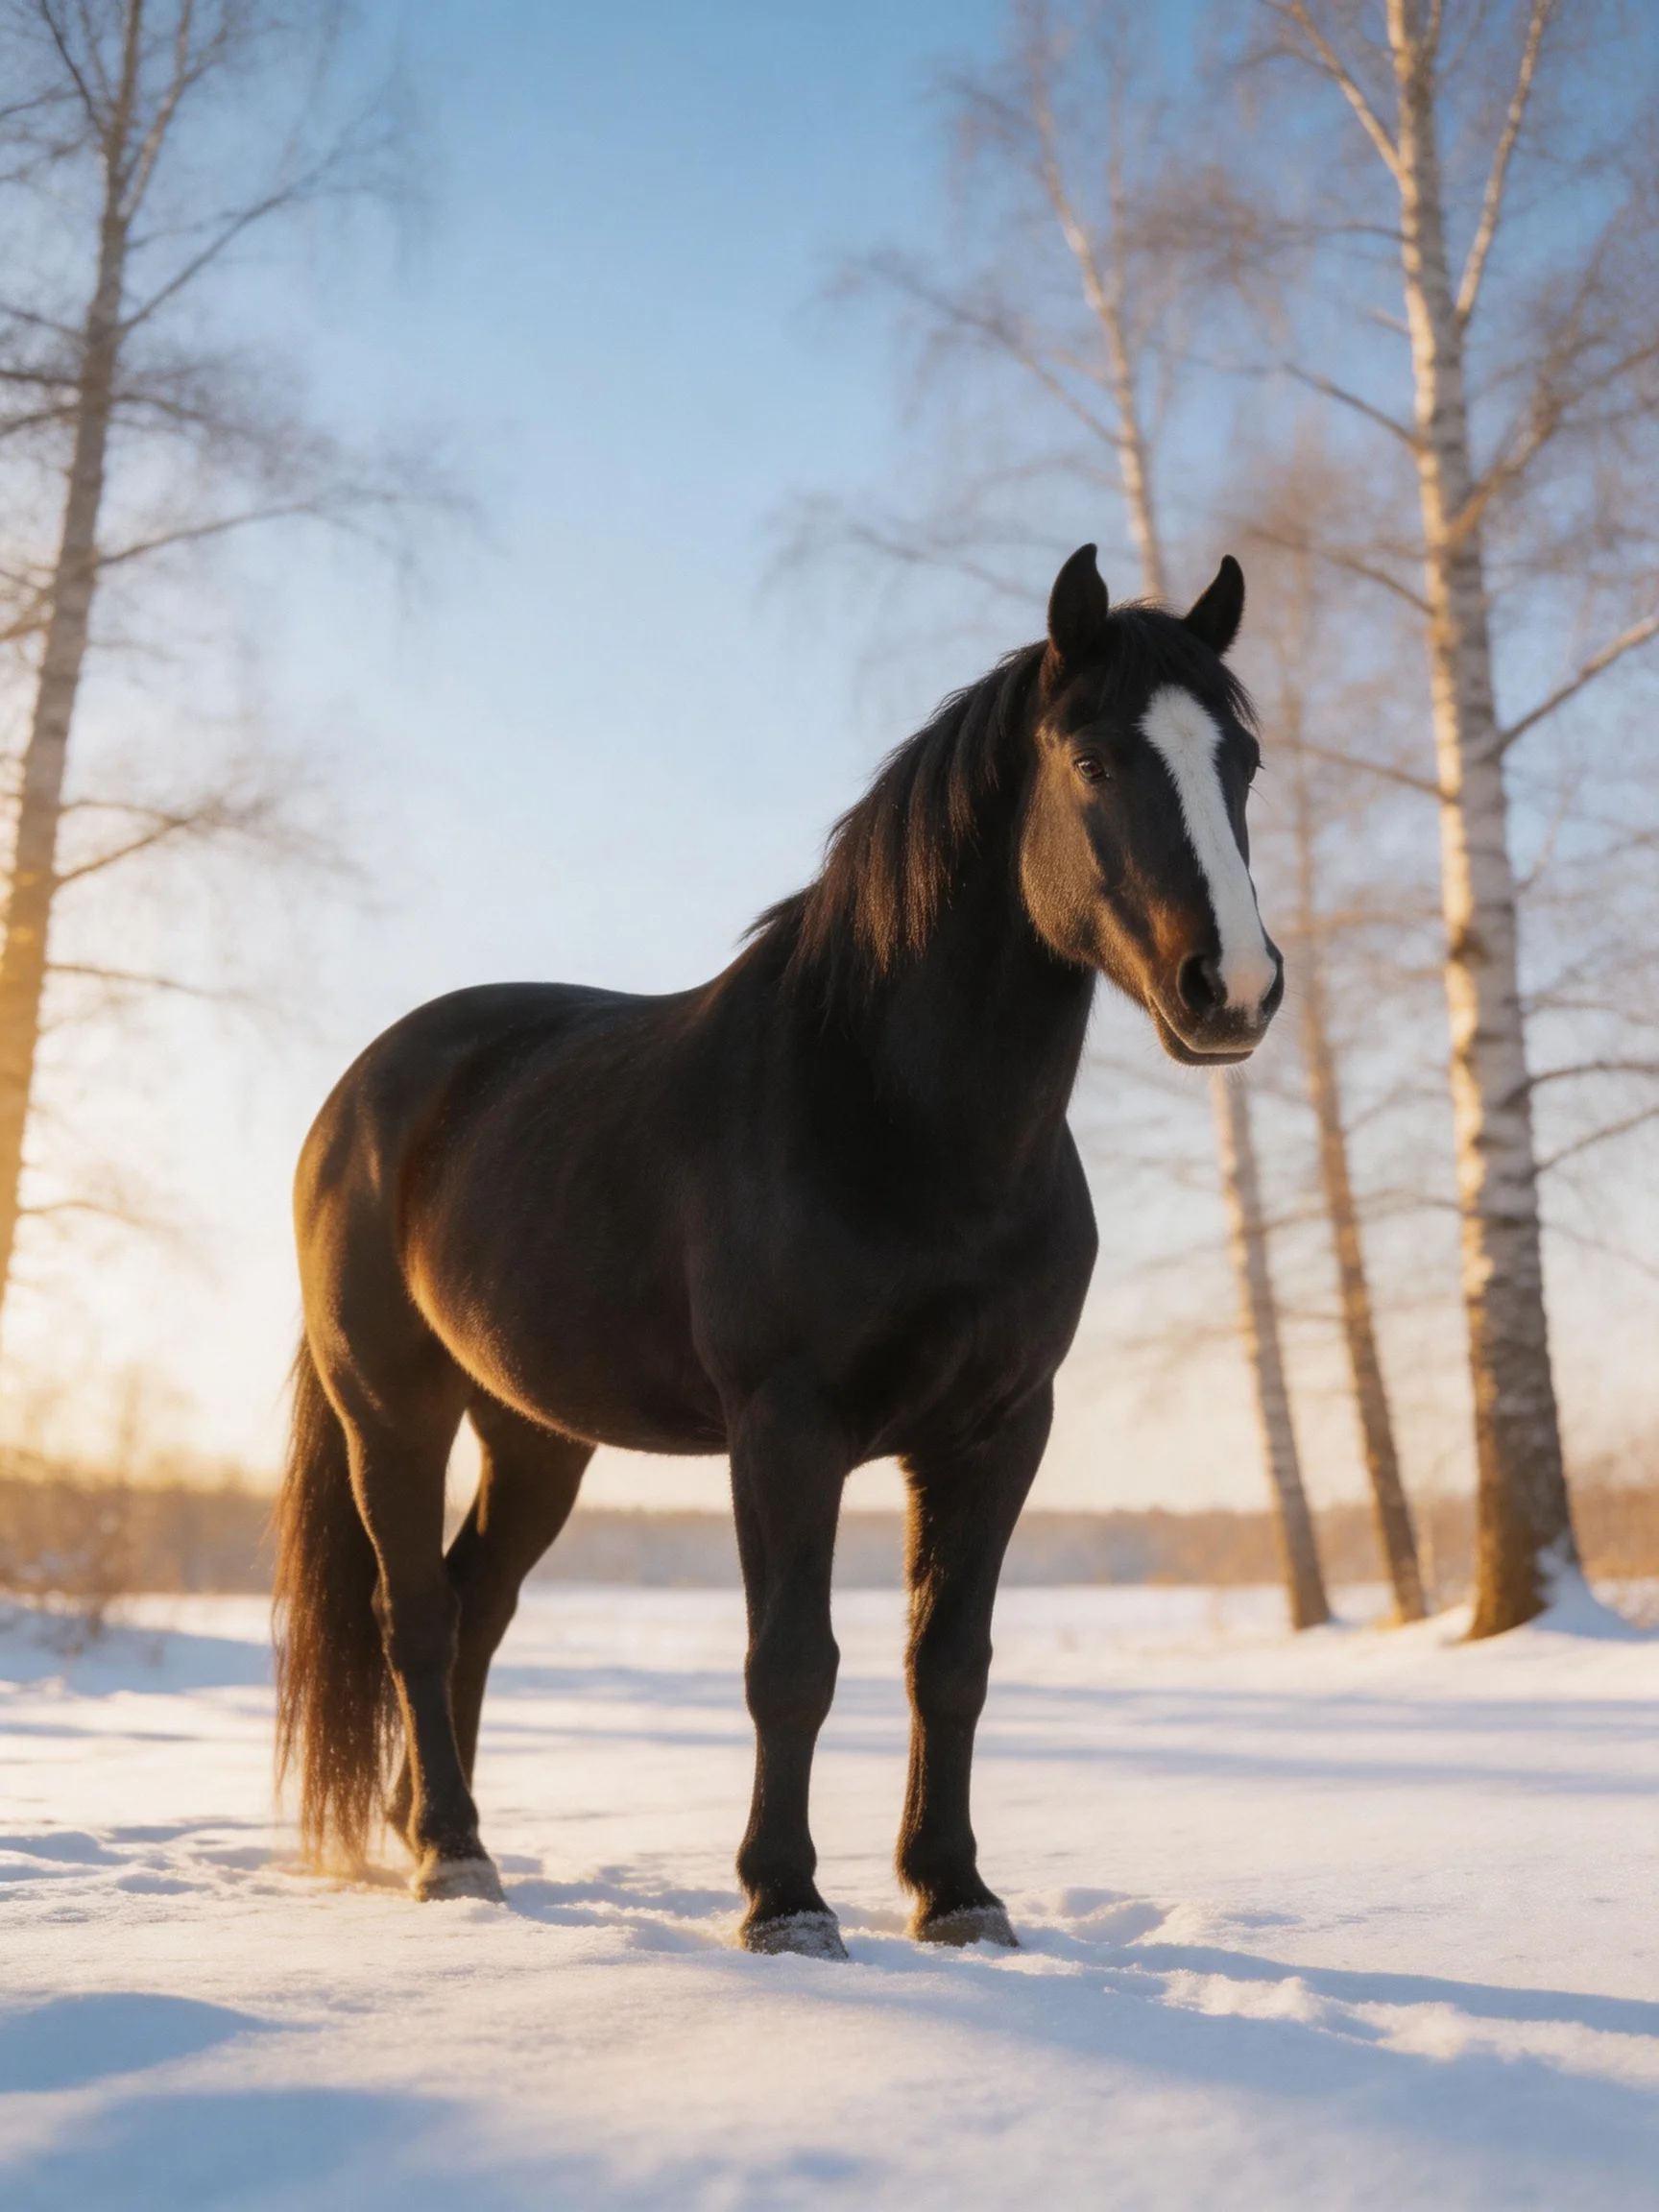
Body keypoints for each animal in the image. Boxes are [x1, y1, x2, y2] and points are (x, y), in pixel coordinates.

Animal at [274, 543, 1282, 1958]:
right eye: (1092, 763)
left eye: (1241, 760)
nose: (1232, 990)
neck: (900, 1118)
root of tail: (364, 1092)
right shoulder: (786, 1430)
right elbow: (793, 1665)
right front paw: (787, 1905)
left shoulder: (998, 1430)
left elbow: (949, 1666)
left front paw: (958, 1896)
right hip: (394, 1412)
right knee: (414, 1612)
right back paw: (453, 1856)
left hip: (536, 1433)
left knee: (476, 1607)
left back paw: (439, 1827)